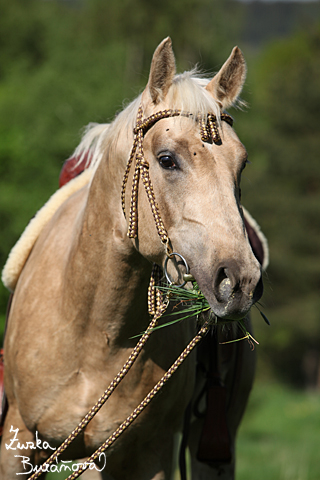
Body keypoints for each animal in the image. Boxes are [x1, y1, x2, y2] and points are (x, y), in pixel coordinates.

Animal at [0, 38, 268, 480]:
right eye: (167, 159)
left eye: (241, 163)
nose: (240, 281)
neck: (93, 332)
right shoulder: (16, 442)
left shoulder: (140, 453)